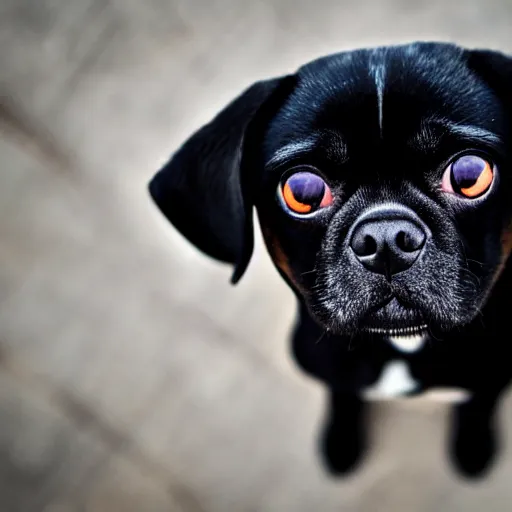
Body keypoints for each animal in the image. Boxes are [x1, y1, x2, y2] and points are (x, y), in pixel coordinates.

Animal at [148, 42, 512, 478]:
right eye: (302, 191)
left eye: (470, 174)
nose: (387, 239)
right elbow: (342, 396)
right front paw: (339, 441)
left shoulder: (493, 378)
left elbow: (478, 403)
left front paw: (473, 446)